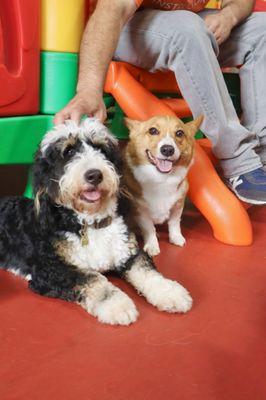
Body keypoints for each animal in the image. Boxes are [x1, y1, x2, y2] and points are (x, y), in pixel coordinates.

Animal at [0, 118, 192, 324]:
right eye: (68, 152)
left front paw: (170, 292)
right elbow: (94, 279)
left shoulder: (129, 253)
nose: (94, 175)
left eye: (101, 149)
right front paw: (117, 305)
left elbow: (148, 271)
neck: (90, 224)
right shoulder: (50, 270)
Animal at [123, 115, 203, 256]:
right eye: (153, 131)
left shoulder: (178, 205)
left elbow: (174, 223)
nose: (167, 150)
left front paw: (176, 238)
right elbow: (149, 228)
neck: (161, 179)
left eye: (179, 133)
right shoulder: (140, 211)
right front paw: (152, 245)